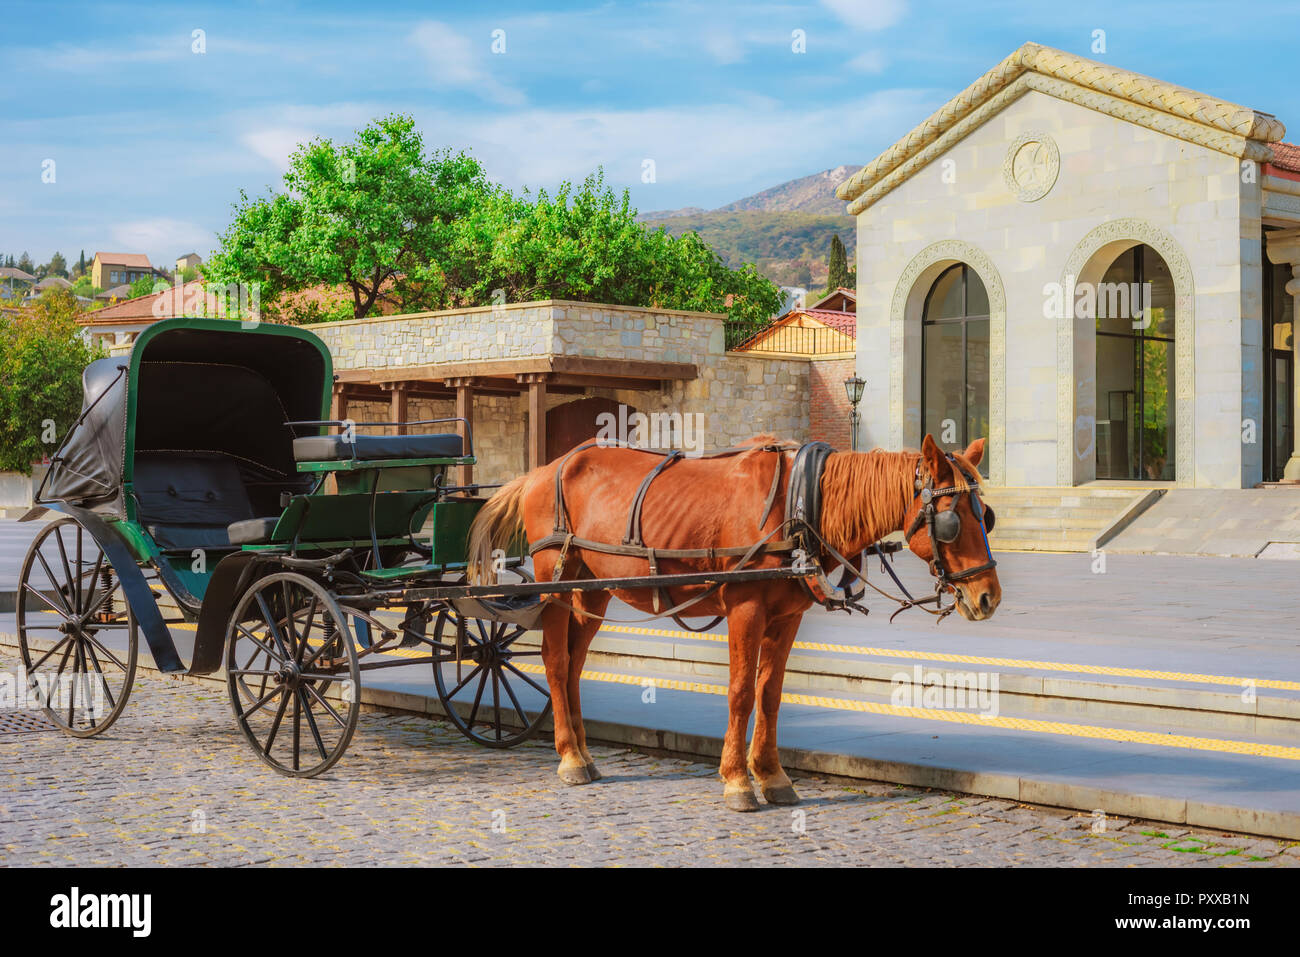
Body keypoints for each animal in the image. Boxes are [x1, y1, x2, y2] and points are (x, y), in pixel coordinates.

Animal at [470, 436, 1003, 811]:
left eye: (987, 515)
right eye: (952, 518)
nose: (989, 597)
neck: (799, 505)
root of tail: (544, 469)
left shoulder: (787, 617)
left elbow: (770, 694)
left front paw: (772, 775)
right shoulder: (746, 609)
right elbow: (742, 692)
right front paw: (737, 782)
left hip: (594, 587)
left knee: (576, 661)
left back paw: (582, 751)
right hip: (555, 580)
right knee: (556, 661)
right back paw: (568, 756)